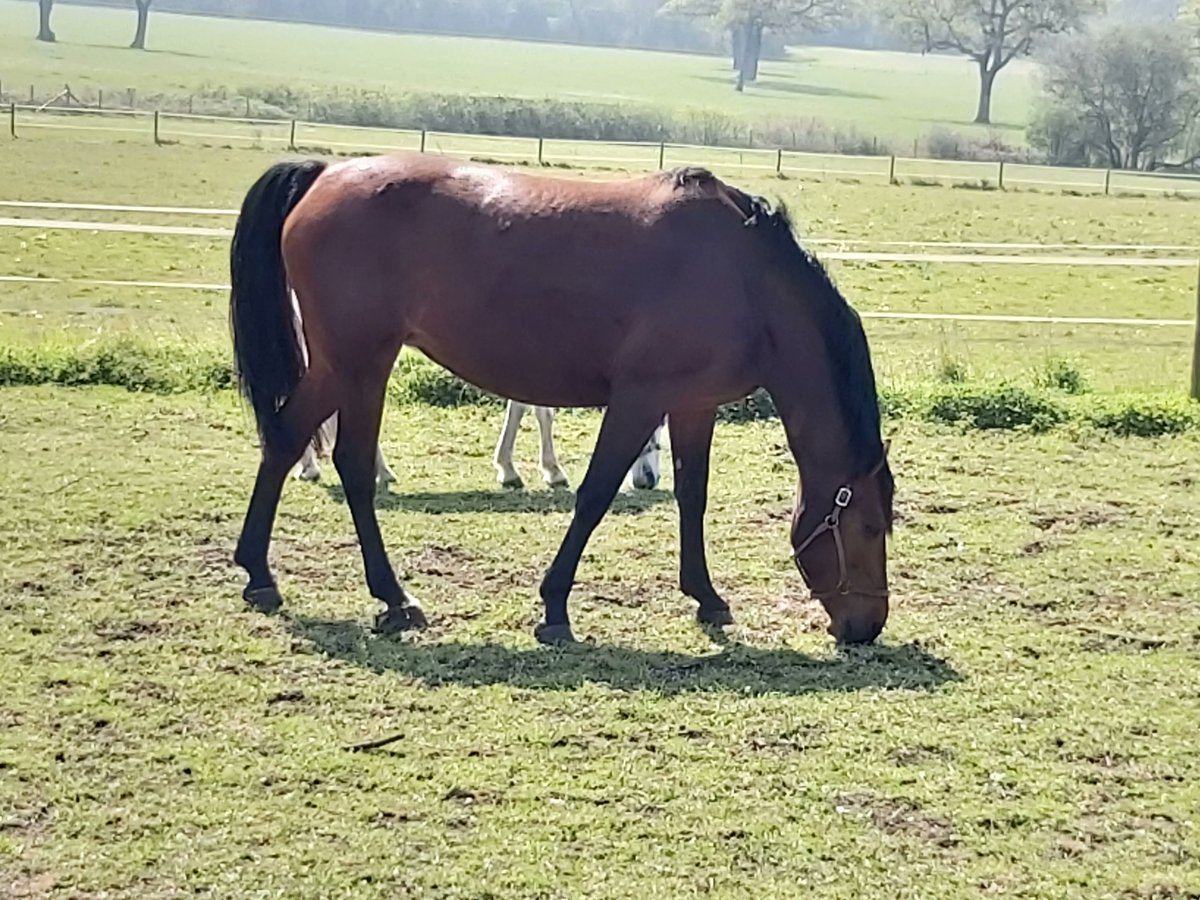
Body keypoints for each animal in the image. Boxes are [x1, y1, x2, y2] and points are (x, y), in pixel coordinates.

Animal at [229, 154, 894, 645]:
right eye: (867, 524)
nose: (867, 625)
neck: (743, 277)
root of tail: (326, 173)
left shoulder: (693, 405)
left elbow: (693, 497)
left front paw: (706, 598)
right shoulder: (638, 401)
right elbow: (595, 495)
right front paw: (554, 608)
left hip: (340, 364)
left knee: (285, 438)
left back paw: (260, 575)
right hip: (360, 361)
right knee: (349, 464)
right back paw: (393, 597)